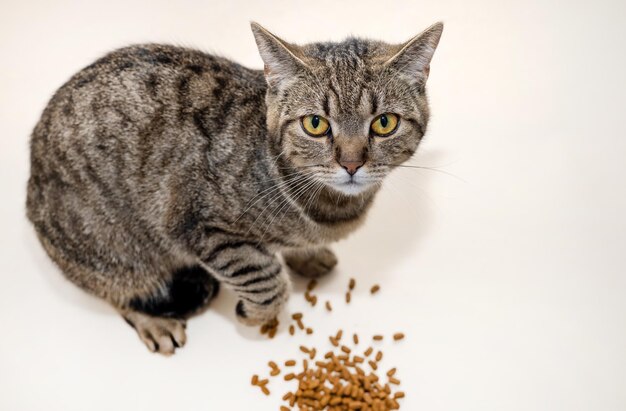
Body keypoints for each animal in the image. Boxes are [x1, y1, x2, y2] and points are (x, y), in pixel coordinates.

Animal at [25, 21, 444, 354]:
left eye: (385, 123)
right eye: (315, 124)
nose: (352, 163)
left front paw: (306, 255)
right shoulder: (203, 225)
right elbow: (265, 280)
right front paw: (255, 313)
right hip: (115, 249)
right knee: (119, 290)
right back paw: (153, 320)